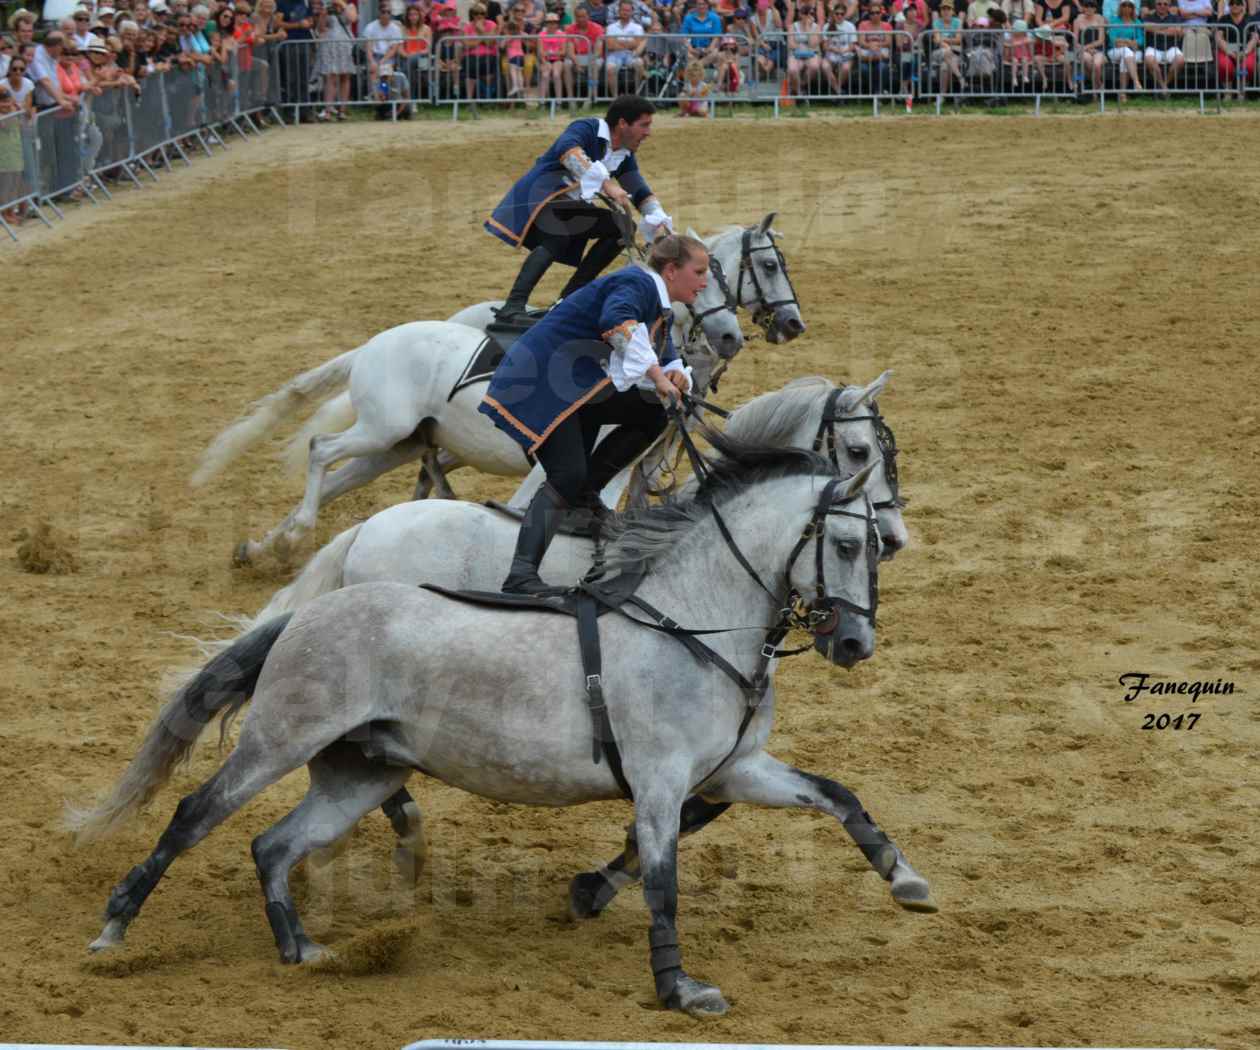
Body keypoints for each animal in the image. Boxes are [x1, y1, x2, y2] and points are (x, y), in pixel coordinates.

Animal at [71, 433, 937, 1018]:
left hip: (360, 772)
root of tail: (312, 612)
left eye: (877, 549)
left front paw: (906, 881)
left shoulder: (735, 770)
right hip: (280, 740)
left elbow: (837, 796)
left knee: (273, 844)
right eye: (848, 542)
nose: (855, 646)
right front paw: (679, 987)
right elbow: (662, 882)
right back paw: (114, 928)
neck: (694, 626)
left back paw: (301, 948)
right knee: (195, 815)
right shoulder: (660, 781)